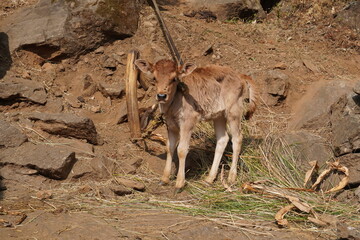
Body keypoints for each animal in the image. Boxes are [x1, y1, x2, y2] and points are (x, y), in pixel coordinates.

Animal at [136, 59, 258, 190]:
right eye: (154, 78)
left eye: (174, 79)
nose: (161, 96)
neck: (175, 102)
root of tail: (239, 75)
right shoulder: (171, 125)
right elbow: (170, 147)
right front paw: (164, 179)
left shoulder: (188, 122)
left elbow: (181, 149)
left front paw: (179, 183)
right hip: (219, 115)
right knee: (223, 139)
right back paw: (209, 179)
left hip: (234, 111)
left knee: (237, 139)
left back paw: (231, 177)